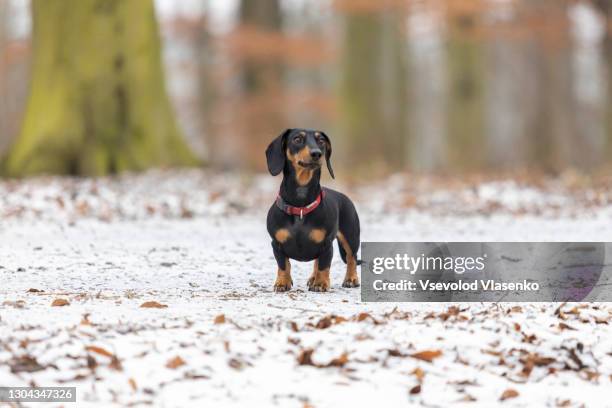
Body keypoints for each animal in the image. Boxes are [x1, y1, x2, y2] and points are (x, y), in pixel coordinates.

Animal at [266, 129, 360, 292]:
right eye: (297, 139)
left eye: (321, 141)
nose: (317, 153)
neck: (300, 206)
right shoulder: (276, 244)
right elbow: (283, 265)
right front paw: (282, 282)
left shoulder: (326, 245)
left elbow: (324, 265)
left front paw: (321, 283)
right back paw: (312, 278)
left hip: (351, 237)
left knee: (351, 258)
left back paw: (350, 279)